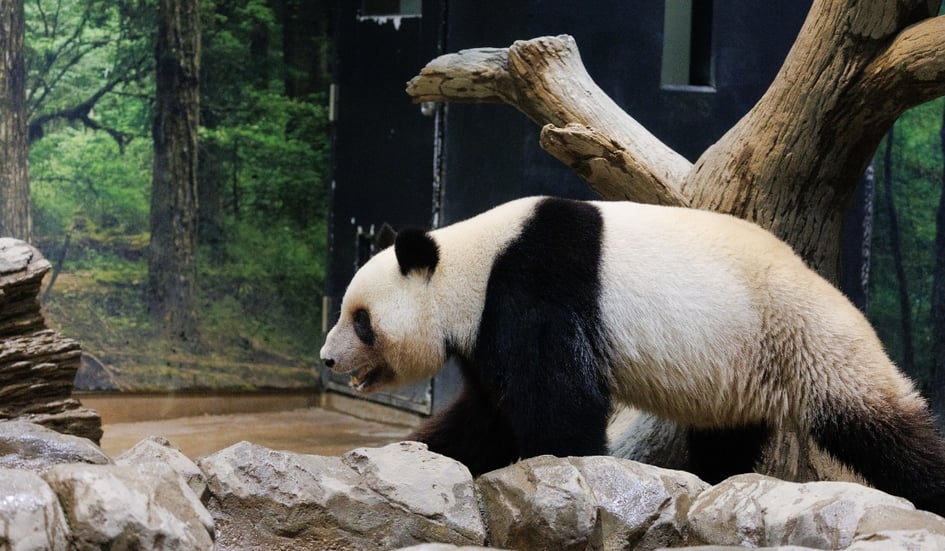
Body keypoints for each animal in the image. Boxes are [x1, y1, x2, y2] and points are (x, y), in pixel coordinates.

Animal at [320, 196, 945, 516]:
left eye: (361, 320)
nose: (326, 359)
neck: (470, 261)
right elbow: (486, 417)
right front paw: (412, 457)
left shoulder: (535, 285)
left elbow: (560, 403)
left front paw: (566, 473)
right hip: (742, 364)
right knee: (728, 435)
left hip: (805, 336)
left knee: (881, 430)